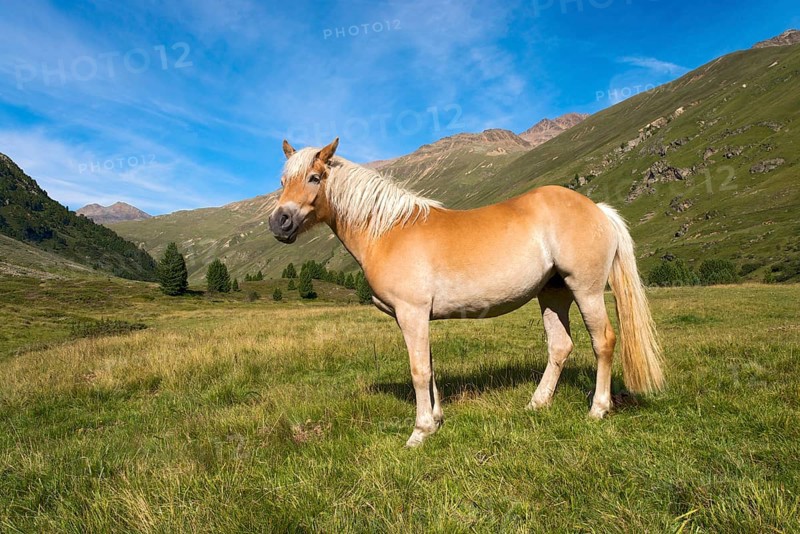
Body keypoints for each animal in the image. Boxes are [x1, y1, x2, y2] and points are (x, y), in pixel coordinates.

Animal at [269, 137, 664, 447]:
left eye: (314, 177)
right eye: (283, 181)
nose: (279, 222)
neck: (388, 230)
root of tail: (597, 209)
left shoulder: (412, 313)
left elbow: (418, 370)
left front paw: (419, 432)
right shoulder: (414, 319)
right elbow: (429, 366)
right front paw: (436, 421)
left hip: (586, 290)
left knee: (604, 341)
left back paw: (598, 409)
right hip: (553, 294)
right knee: (560, 346)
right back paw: (537, 404)